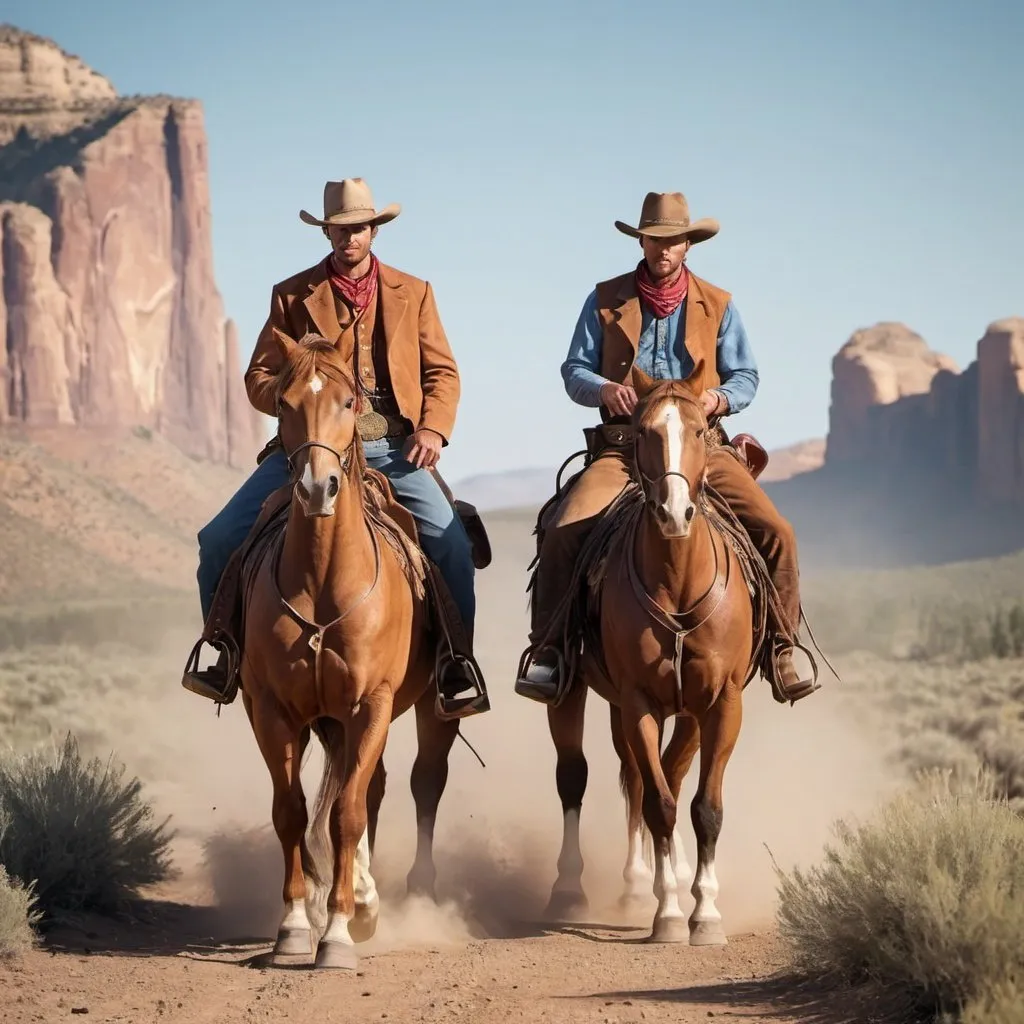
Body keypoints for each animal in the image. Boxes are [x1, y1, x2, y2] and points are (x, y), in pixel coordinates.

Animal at [241, 327, 458, 966]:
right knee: (366, 785)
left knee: (417, 784)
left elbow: (346, 813)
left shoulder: (371, 704)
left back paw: (400, 894)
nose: (318, 487)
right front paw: (294, 925)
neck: (322, 583)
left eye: (346, 402)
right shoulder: (273, 710)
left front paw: (337, 931)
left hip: (427, 710)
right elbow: (291, 812)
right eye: (284, 403)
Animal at [544, 364, 761, 946]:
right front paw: (668, 914)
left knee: (664, 773)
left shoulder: (720, 702)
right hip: (577, 693)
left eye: (699, 429)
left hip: (673, 711)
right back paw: (579, 889)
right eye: (643, 432)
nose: (673, 512)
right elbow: (659, 804)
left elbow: (703, 805)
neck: (678, 582)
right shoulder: (638, 701)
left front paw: (704, 911)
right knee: (579, 778)